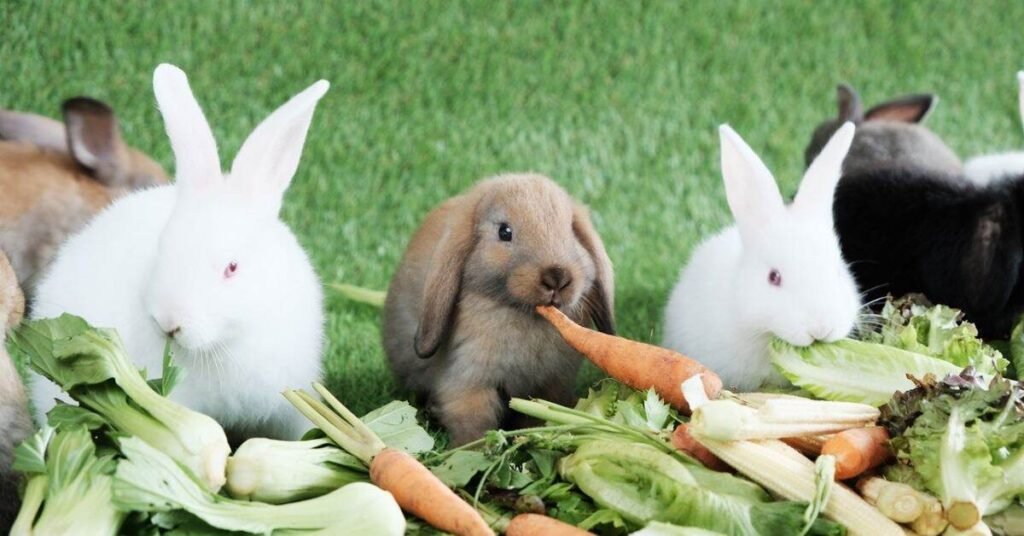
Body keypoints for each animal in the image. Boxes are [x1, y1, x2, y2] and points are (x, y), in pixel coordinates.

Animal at [382, 173, 615, 446]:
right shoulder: (468, 381)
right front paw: (474, 451)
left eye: (571, 230)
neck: (526, 315)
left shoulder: (552, 384)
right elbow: (473, 423)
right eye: (505, 232)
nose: (557, 277)